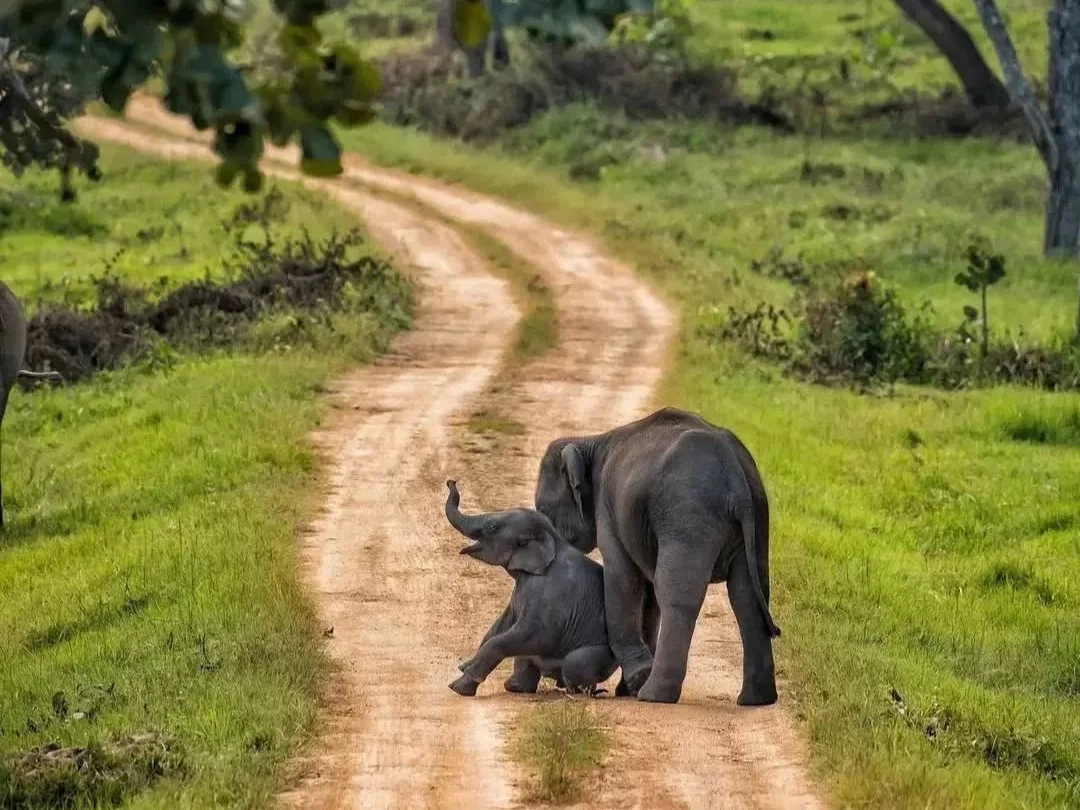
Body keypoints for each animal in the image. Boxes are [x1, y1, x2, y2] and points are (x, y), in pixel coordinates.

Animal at [444, 479, 617, 697]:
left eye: (492, 527)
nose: (451, 482)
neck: (554, 539)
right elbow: (501, 625)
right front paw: (463, 667)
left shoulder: (548, 596)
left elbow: (532, 634)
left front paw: (458, 687)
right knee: (527, 658)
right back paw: (516, 687)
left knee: (574, 663)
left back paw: (579, 691)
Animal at [533, 406, 781, 706]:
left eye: (543, 509)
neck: (592, 442)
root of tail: (734, 472)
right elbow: (648, 596)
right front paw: (628, 688)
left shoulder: (609, 510)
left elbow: (623, 578)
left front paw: (636, 682)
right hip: (756, 516)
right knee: (748, 597)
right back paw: (756, 700)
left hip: (687, 515)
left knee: (677, 594)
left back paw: (654, 695)